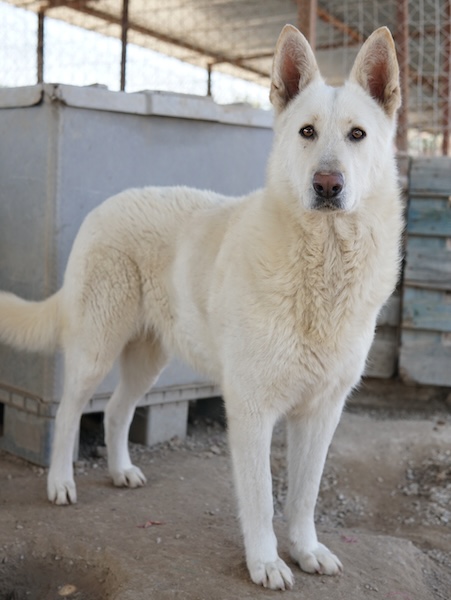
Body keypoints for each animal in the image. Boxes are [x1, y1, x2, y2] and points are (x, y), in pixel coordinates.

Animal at [0, 25, 402, 590]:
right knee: (70, 415)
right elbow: (261, 498)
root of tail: (106, 205)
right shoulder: (252, 409)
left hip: (149, 360)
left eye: (357, 135)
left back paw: (121, 471)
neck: (322, 265)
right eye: (306, 132)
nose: (327, 185)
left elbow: (304, 495)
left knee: (117, 412)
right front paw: (266, 562)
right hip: (95, 351)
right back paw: (60, 483)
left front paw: (306, 550)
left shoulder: (323, 411)